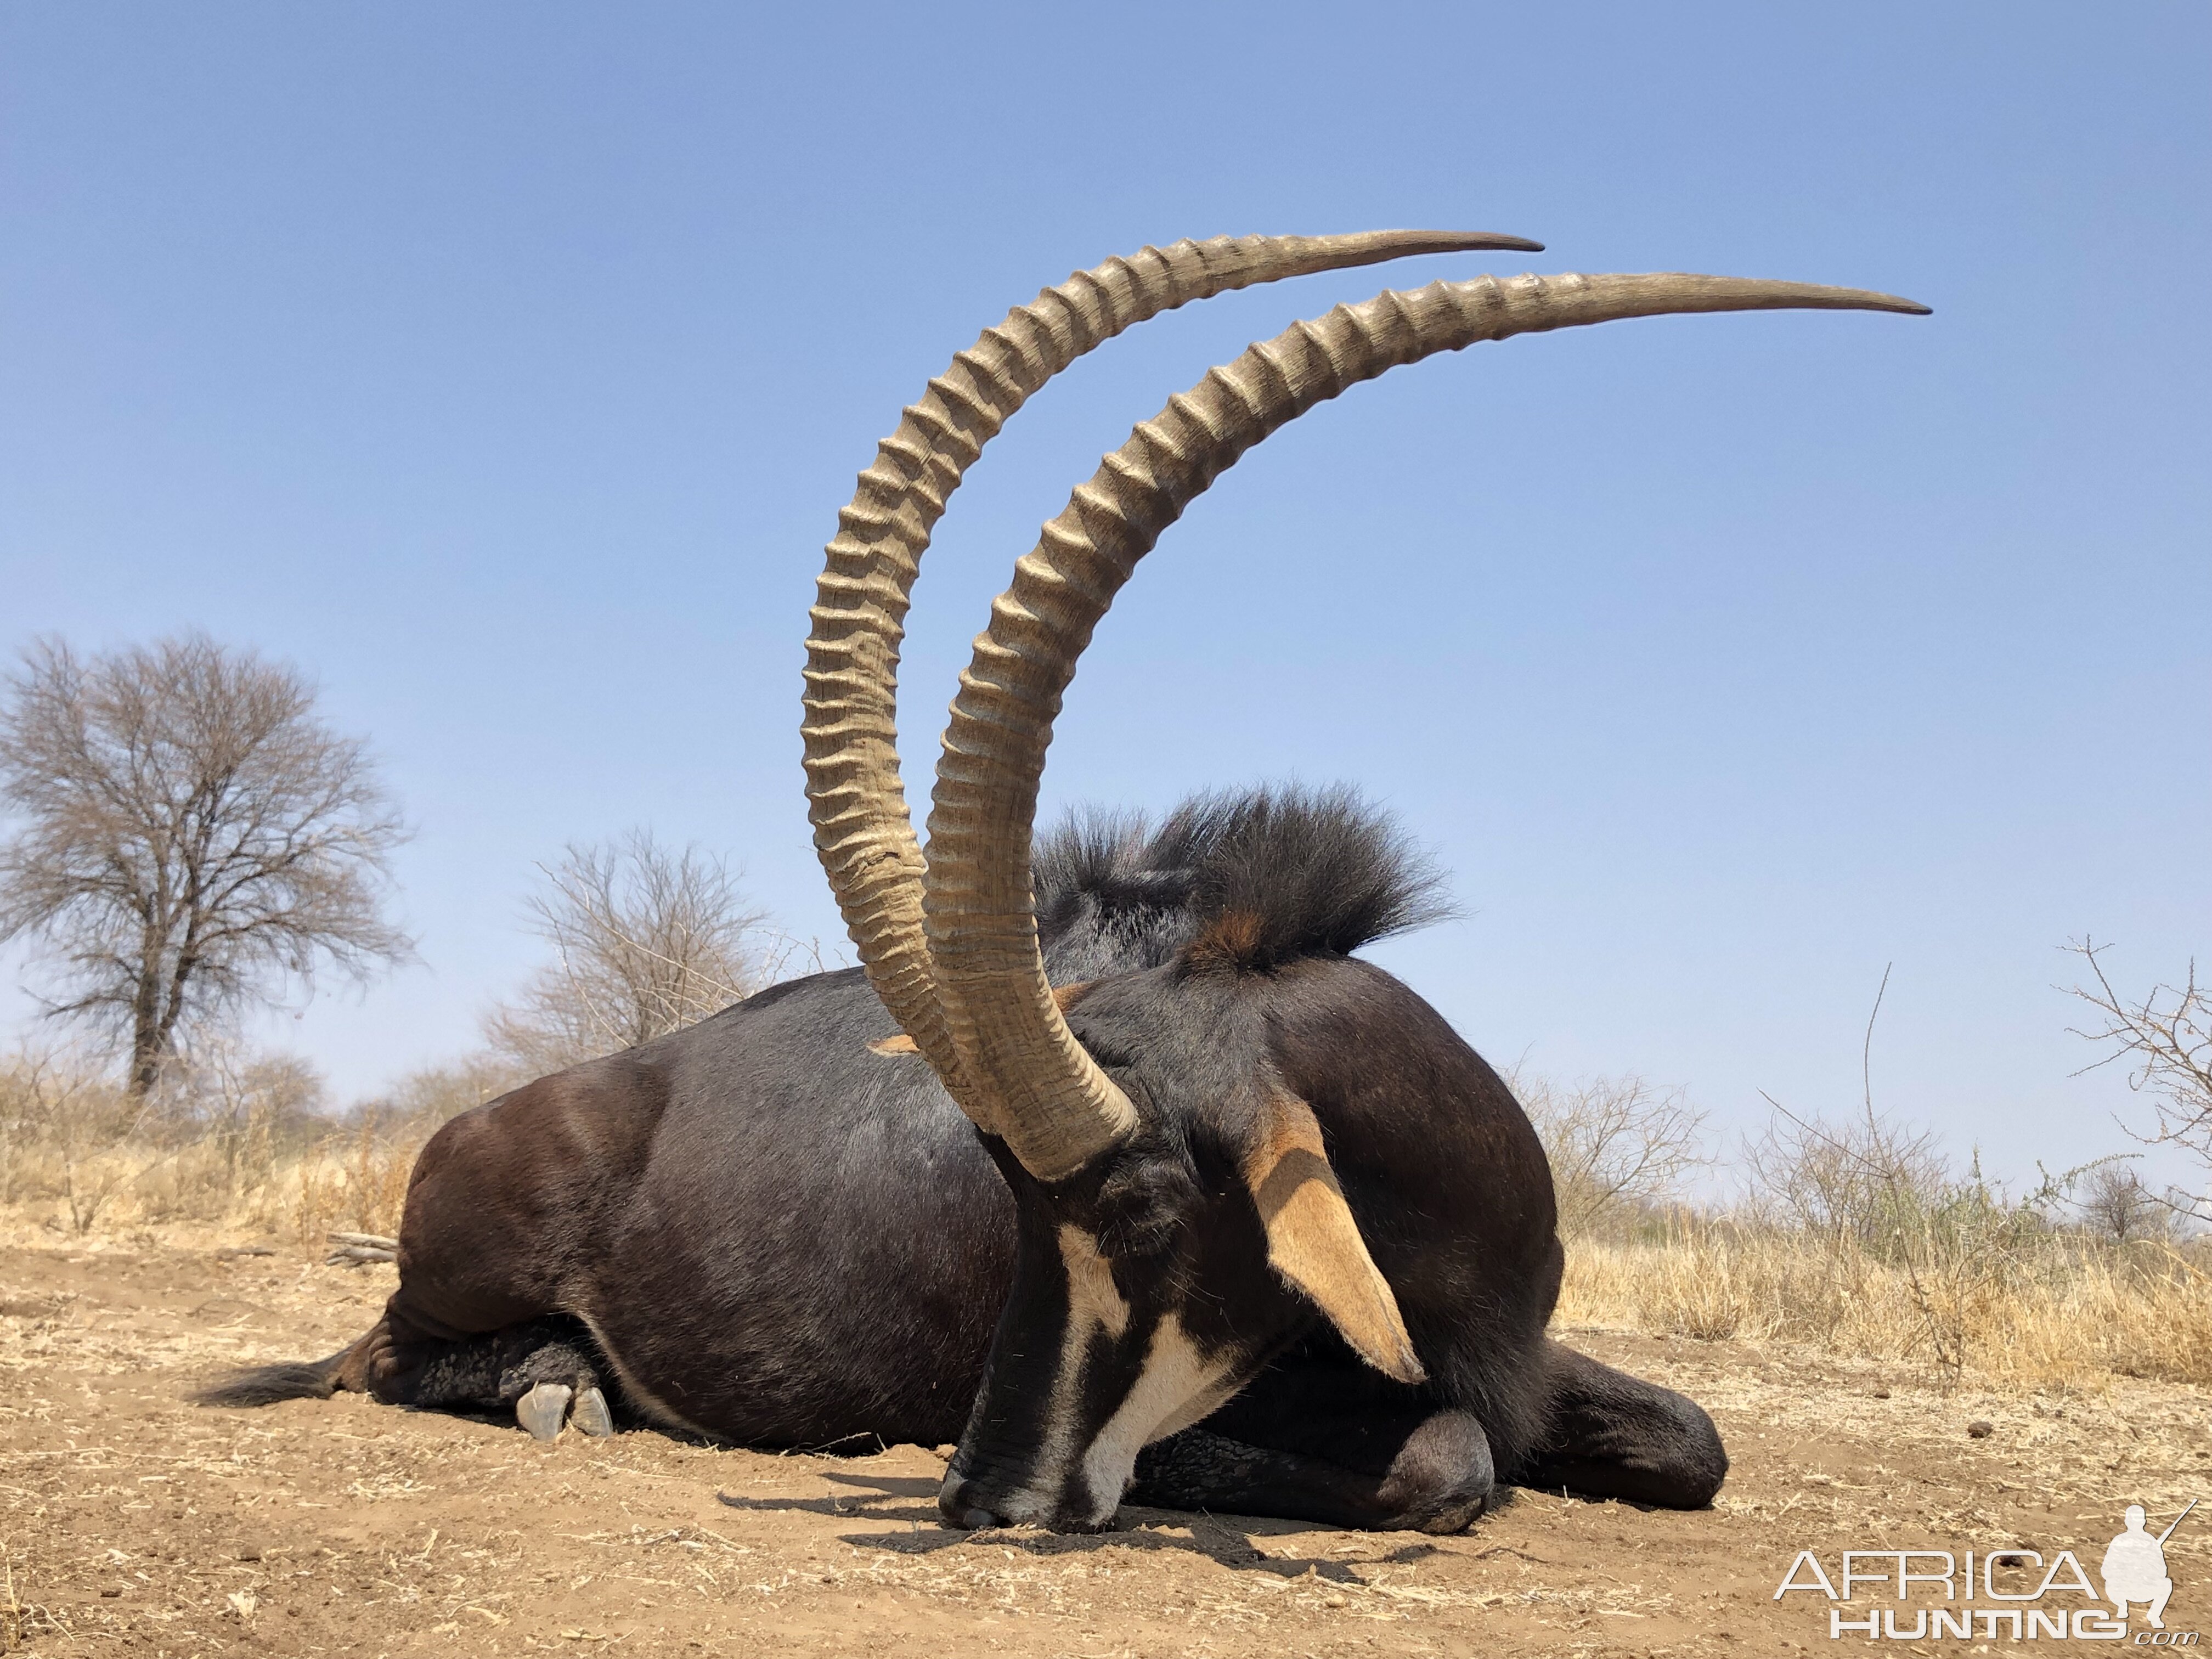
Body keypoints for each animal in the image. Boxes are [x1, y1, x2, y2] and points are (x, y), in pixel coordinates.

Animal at [211, 231, 1938, 1531]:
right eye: (1009, 1199)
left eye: (1149, 1205)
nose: (984, 1492)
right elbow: (1448, 1461)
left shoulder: (1525, 1356)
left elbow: (1692, 1441)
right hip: (451, 1282)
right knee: (381, 1356)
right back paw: (561, 1385)